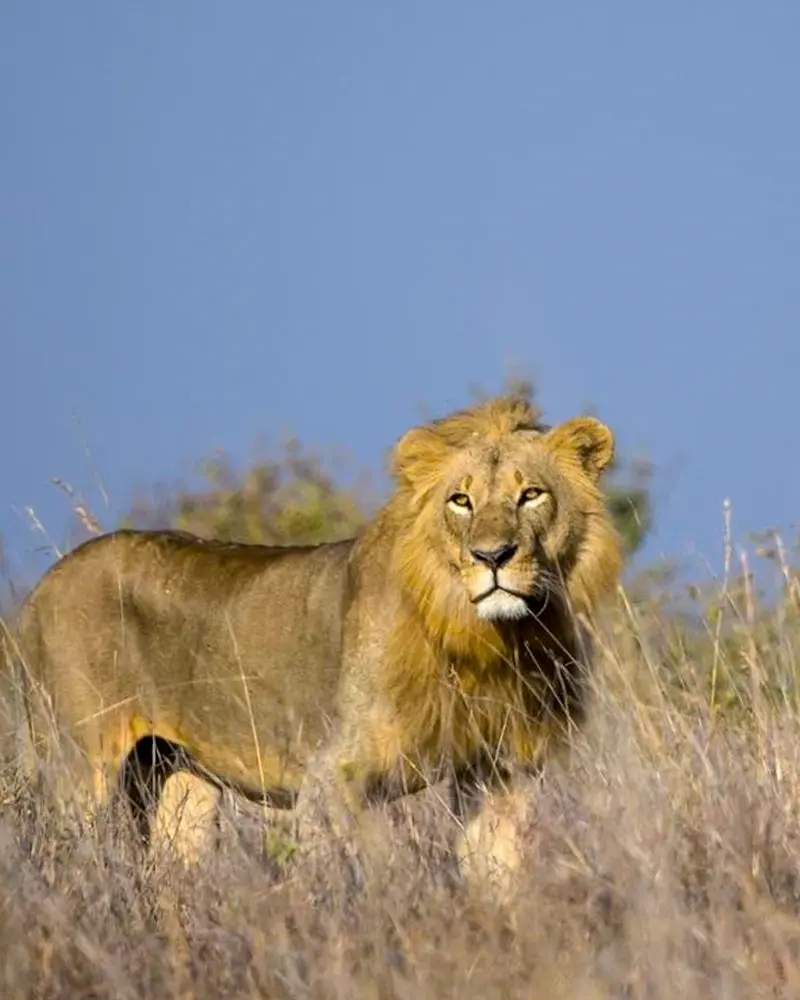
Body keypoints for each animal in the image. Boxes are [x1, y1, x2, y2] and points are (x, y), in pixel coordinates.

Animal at [12, 395, 622, 882]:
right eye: (460, 500)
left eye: (531, 495)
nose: (492, 556)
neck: (491, 639)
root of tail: (42, 585)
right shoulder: (332, 777)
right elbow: (367, 875)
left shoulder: (499, 774)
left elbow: (498, 877)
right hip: (78, 767)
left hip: (176, 783)